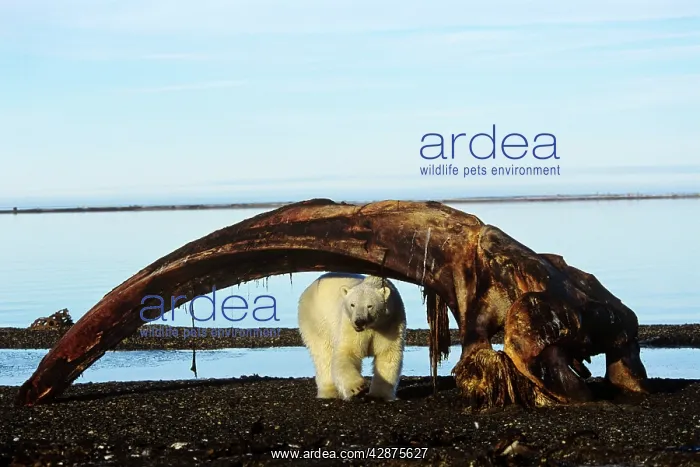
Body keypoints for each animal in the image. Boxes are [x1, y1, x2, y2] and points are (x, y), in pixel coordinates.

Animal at [297, 272, 407, 401]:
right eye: (352, 304)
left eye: (370, 306)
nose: (359, 321)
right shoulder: (349, 324)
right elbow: (347, 351)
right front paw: (357, 388)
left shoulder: (391, 324)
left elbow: (387, 354)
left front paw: (379, 395)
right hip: (315, 319)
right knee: (323, 353)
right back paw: (330, 391)